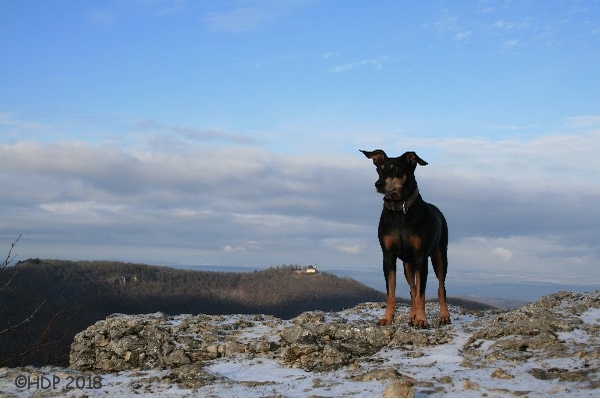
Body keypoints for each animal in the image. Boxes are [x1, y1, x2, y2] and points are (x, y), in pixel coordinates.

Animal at [360, 150, 450, 328]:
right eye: (379, 169)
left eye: (396, 168)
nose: (378, 184)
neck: (400, 209)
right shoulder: (388, 256)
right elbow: (392, 292)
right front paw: (387, 318)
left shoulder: (421, 257)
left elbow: (422, 292)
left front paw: (422, 319)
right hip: (408, 265)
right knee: (413, 289)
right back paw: (412, 316)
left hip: (440, 256)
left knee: (440, 287)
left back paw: (443, 316)